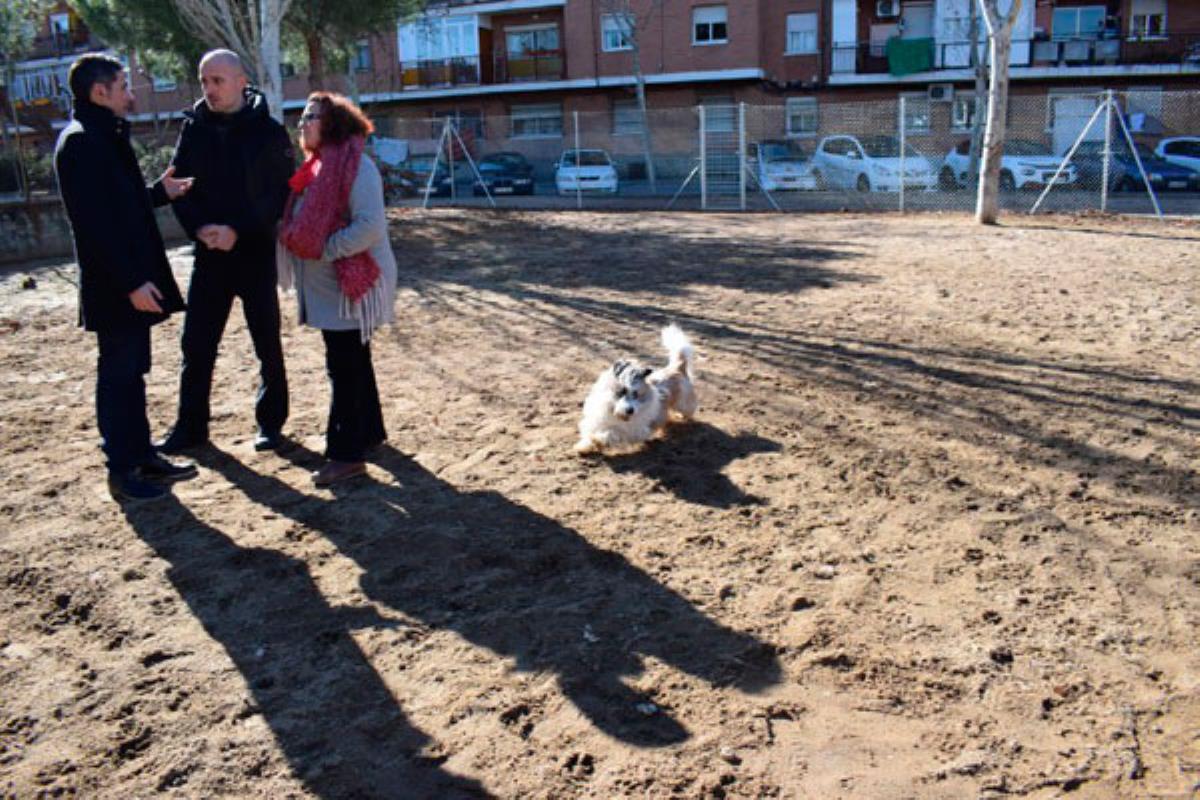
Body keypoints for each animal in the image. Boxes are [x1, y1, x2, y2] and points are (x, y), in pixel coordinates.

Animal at [576, 321, 700, 453]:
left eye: (636, 394)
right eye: (622, 391)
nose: (630, 410)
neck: (616, 414)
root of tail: (677, 368)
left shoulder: (632, 431)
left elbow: (612, 433)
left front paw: (598, 439)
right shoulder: (596, 420)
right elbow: (591, 432)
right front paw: (584, 446)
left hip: (683, 404)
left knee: (690, 409)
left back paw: (681, 416)